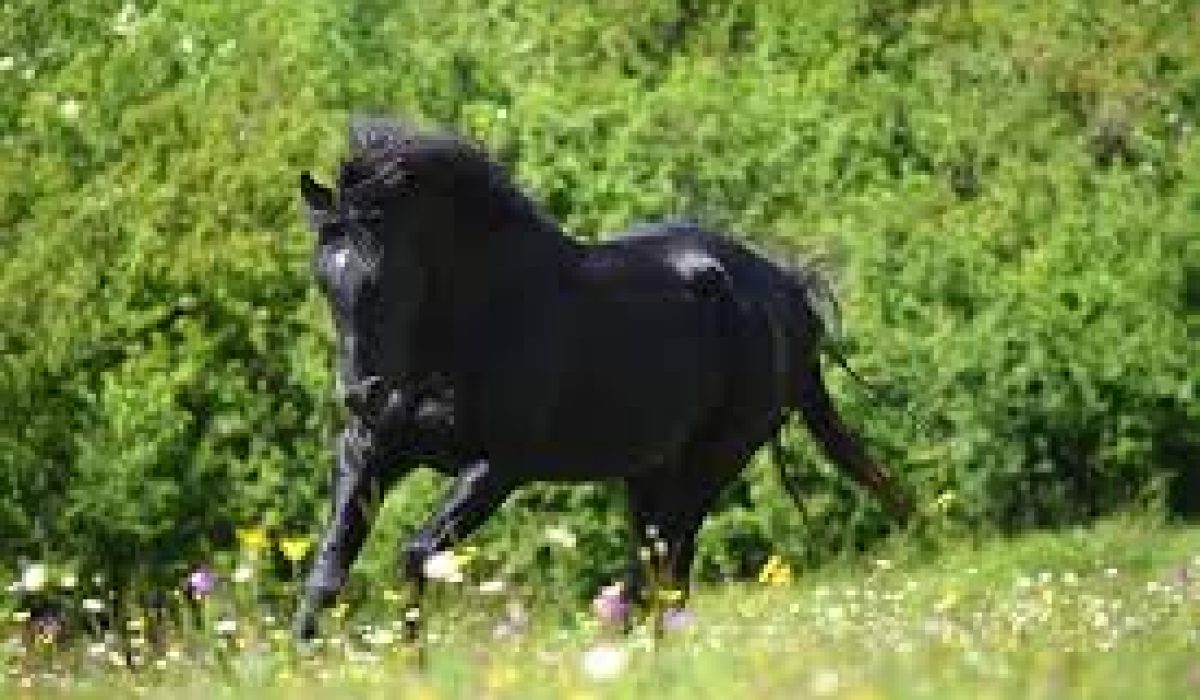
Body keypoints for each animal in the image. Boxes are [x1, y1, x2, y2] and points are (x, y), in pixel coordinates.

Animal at [291, 117, 910, 640]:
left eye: (386, 278)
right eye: (323, 280)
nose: (362, 395)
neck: (473, 327)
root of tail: (785, 290)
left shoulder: (498, 468)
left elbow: (416, 555)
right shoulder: (370, 453)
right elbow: (325, 575)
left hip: (713, 460)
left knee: (657, 574)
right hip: (650, 470)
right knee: (666, 578)